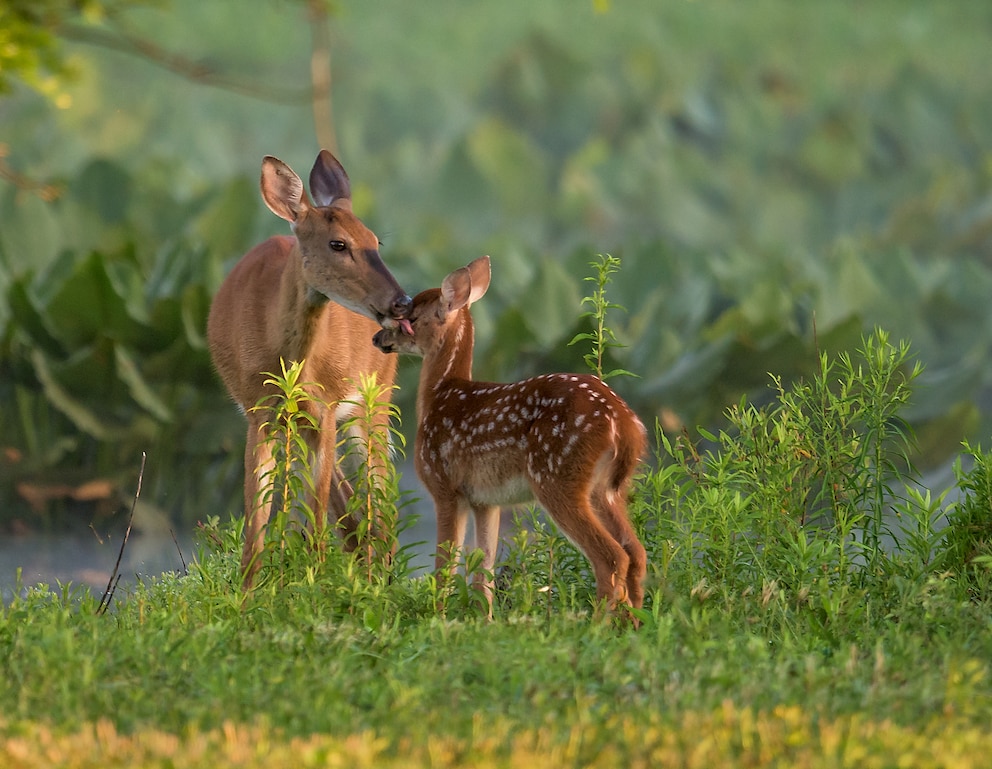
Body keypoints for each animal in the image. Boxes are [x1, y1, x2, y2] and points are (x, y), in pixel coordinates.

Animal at [207, 150, 412, 584]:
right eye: (338, 243)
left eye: (376, 241)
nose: (401, 302)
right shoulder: (259, 413)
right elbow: (257, 523)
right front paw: (249, 592)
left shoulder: (328, 408)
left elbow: (316, 516)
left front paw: (315, 583)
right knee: (350, 503)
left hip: (375, 401)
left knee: (381, 494)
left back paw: (381, 576)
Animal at [376, 255, 648, 616]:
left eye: (409, 319)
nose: (378, 338)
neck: (441, 394)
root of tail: (624, 423)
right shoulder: (486, 500)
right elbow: (484, 569)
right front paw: (484, 619)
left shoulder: (444, 486)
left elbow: (445, 564)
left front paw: (437, 614)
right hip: (607, 489)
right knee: (636, 552)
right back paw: (635, 621)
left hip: (557, 477)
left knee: (612, 556)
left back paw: (597, 623)